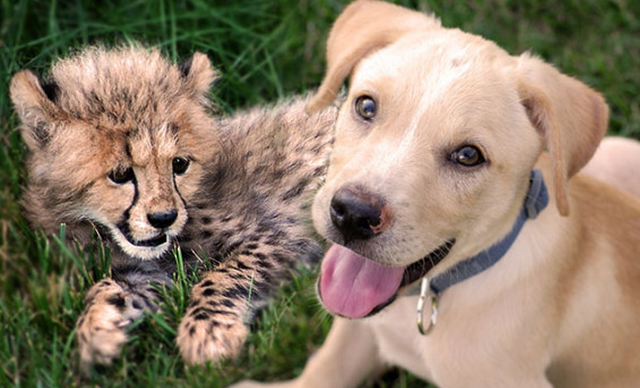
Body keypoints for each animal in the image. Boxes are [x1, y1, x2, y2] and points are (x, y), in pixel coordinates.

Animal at [238, 2, 640, 388]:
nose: (352, 214)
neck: (427, 296)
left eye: (468, 156)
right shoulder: (358, 327)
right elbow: (329, 363)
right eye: (365, 106)